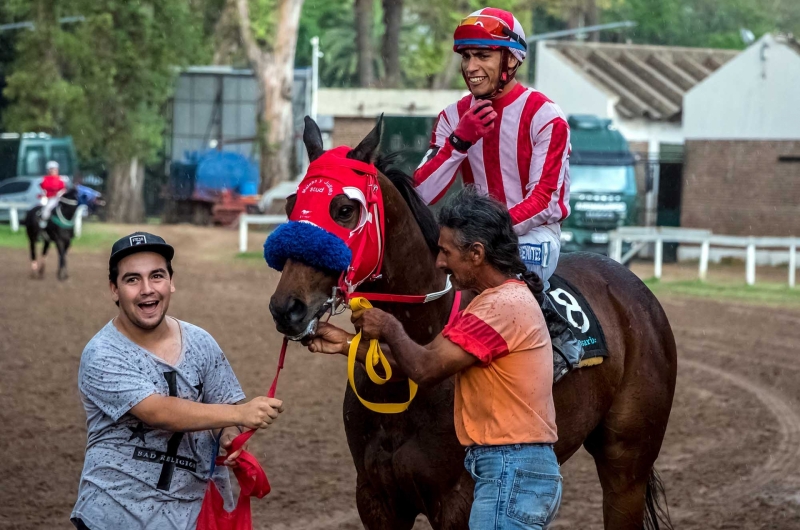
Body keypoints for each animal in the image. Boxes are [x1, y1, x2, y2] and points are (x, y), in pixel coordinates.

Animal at [268, 116, 676, 528]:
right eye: (291, 205)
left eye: (344, 209)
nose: (287, 307)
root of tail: (633, 288)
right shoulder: (376, 498)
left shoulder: (459, 501)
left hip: (626, 465)